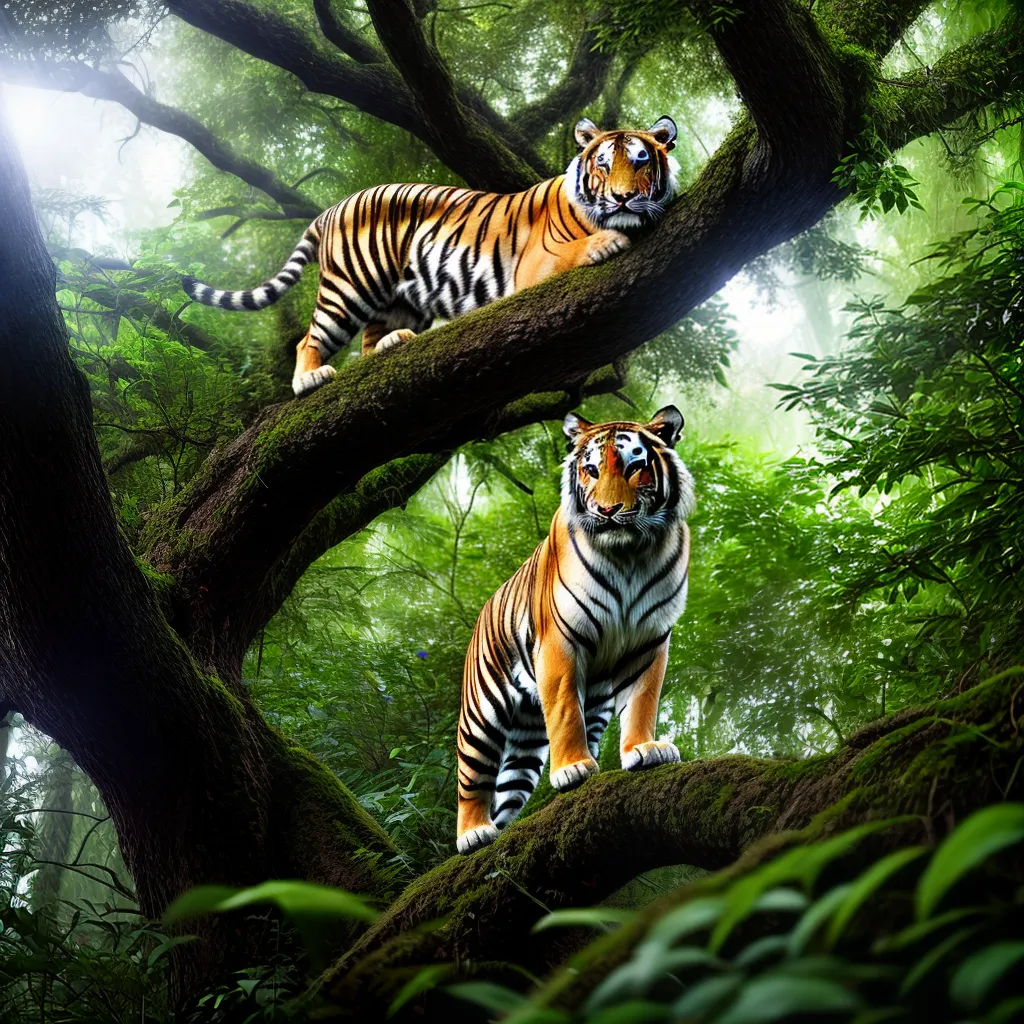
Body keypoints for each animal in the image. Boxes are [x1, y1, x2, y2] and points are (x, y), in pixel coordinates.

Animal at [181, 116, 679, 397]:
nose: (622, 198)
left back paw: (393, 343)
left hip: (402, 298)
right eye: (602, 163)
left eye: (641, 160)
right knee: (311, 338)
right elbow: (577, 248)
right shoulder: (532, 266)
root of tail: (331, 207)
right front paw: (607, 241)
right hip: (351, 286)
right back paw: (308, 380)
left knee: (369, 345)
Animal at [456, 405, 695, 855]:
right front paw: (573, 768)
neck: (629, 555)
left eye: (636, 467)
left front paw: (643, 750)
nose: (607, 510)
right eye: (591, 469)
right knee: (471, 779)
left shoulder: (649, 640)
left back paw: (501, 832)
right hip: (481, 714)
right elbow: (566, 709)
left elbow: (642, 700)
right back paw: (474, 833)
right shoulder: (561, 641)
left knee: (509, 790)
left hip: (535, 735)